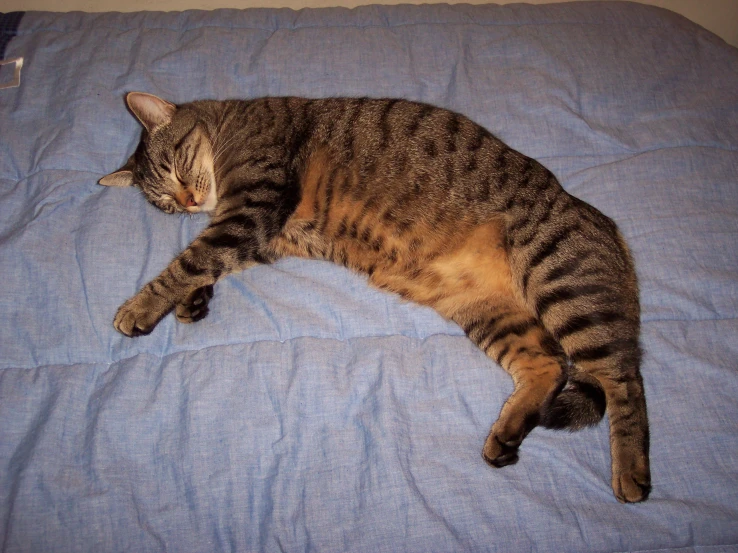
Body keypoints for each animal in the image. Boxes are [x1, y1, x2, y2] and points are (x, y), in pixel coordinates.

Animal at [99, 90, 648, 500]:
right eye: (166, 203)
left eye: (175, 166)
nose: (188, 200)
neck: (230, 123)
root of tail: (609, 227)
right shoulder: (266, 234)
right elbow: (205, 263)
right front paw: (191, 301)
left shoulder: (253, 208)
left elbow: (190, 261)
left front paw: (139, 307)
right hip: (489, 312)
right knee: (549, 365)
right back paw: (507, 433)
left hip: (563, 284)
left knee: (625, 381)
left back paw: (631, 473)